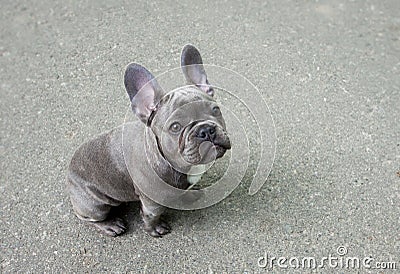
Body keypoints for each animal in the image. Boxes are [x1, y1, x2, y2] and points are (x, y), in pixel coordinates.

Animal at [66, 45, 231, 238]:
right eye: (175, 127)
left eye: (215, 110)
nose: (205, 130)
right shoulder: (152, 202)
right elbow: (151, 215)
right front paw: (155, 229)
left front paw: (189, 195)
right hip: (95, 206)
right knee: (90, 218)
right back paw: (110, 225)